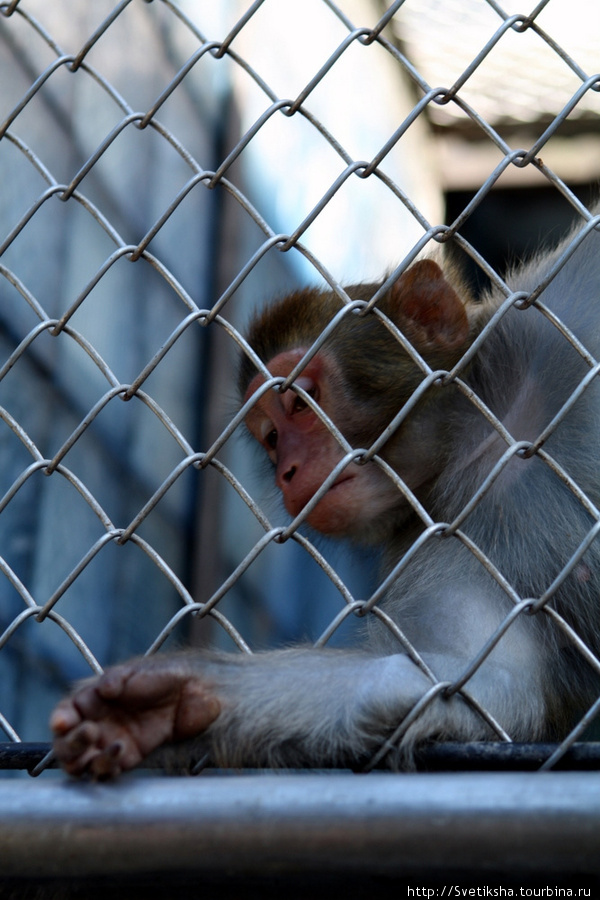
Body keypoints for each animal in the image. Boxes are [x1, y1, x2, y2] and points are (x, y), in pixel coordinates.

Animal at [50, 211, 600, 772]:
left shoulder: (549, 331)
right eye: (271, 437)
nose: (287, 471)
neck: (482, 442)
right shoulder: (441, 533)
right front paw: (171, 698)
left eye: (301, 401)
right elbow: (470, 679)